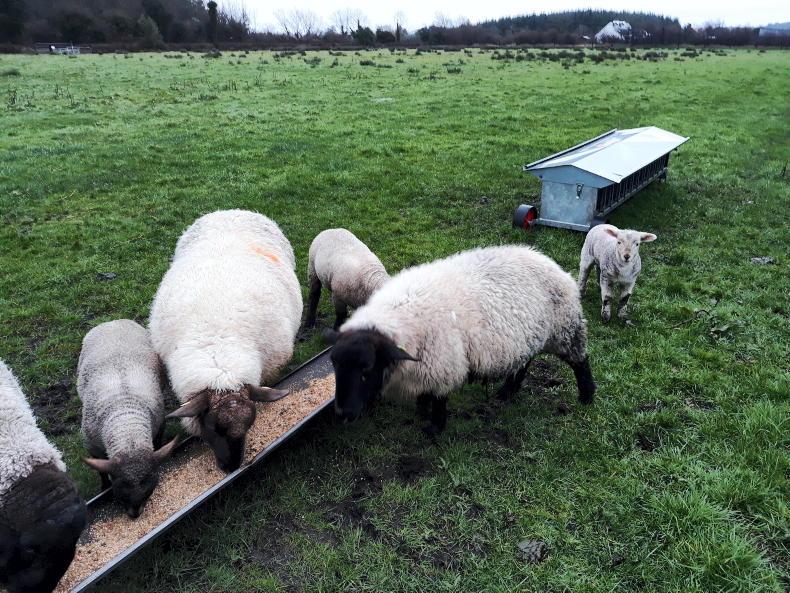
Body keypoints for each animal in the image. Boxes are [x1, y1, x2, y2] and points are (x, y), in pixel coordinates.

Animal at [78, 319, 179, 518]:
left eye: (150, 491)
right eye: (120, 493)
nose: (135, 515)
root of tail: (113, 321)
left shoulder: (159, 428)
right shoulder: (93, 447)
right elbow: (101, 473)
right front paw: (104, 487)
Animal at [324, 245, 596, 436]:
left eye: (366, 370)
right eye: (335, 366)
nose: (342, 414)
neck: (402, 315)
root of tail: (553, 264)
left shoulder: (444, 363)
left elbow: (439, 400)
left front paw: (434, 428)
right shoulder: (426, 365)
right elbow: (425, 395)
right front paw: (421, 410)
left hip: (565, 328)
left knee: (580, 361)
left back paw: (587, 396)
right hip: (528, 336)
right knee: (523, 362)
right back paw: (506, 392)